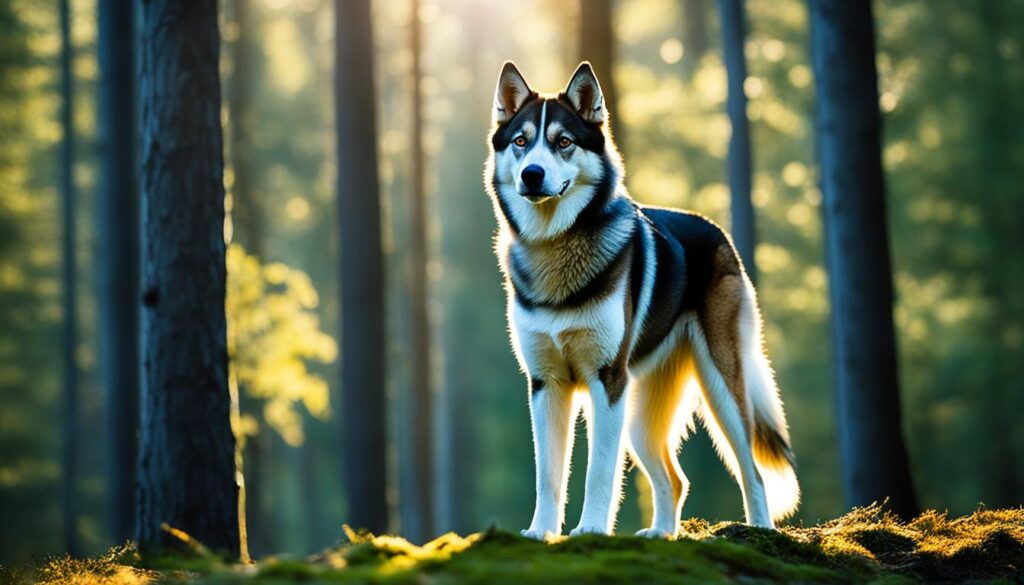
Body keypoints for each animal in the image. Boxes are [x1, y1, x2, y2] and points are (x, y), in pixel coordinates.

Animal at [483, 60, 802, 540]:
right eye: (521, 142)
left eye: (563, 142)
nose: (531, 174)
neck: (554, 247)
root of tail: (716, 230)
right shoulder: (545, 384)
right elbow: (548, 475)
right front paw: (540, 533)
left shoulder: (606, 381)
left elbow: (598, 472)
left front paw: (590, 531)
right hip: (637, 417)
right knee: (676, 477)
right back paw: (661, 533)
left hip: (718, 391)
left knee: (753, 471)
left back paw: (761, 531)